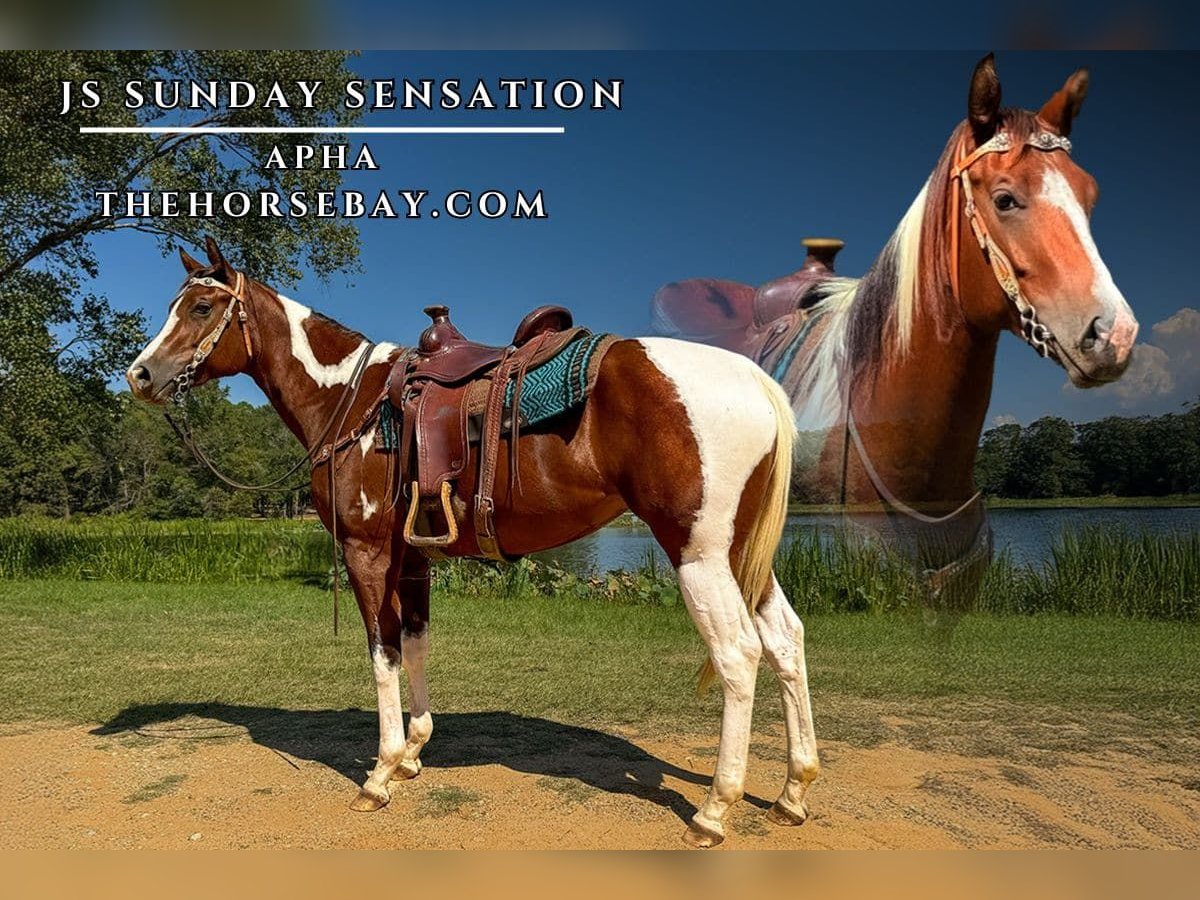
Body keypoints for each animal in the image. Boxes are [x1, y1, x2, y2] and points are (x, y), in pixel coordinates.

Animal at [126, 237, 810, 847]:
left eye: (202, 308)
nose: (139, 374)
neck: (354, 401)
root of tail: (752, 380)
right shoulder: (411, 559)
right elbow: (416, 645)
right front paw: (412, 753)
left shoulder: (367, 552)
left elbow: (382, 654)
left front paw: (379, 774)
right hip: (742, 557)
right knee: (786, 641)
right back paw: (792, 792)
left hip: (698, 556)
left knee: (739, 656)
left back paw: (714, 811)